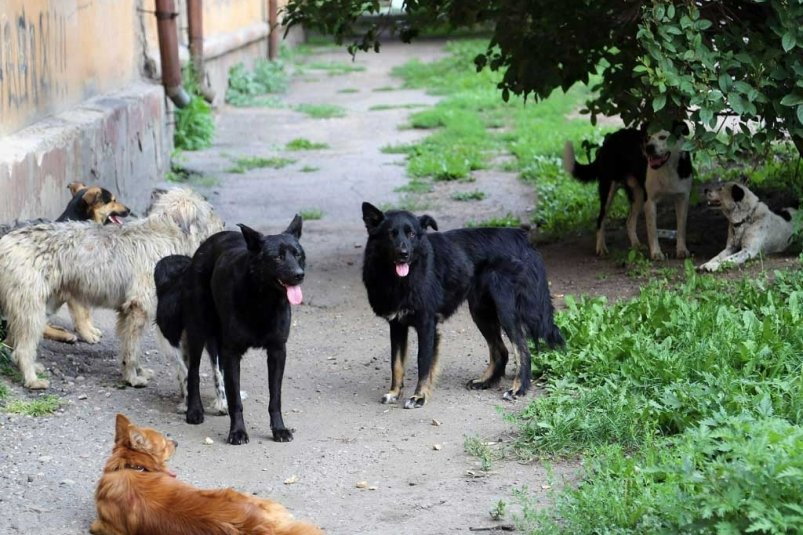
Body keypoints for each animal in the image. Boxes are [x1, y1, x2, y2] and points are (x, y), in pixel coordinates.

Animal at [0, 188, 223, 390]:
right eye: (212, 211)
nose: (224, 225)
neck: (165, 232)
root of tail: (6, 242)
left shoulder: (127, 313)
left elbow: (129, 348)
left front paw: (136, 372)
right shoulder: (138, 308)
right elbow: (132, 350)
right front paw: (133, 378)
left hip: (41, 306)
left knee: (12, 342)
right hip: (31, 308)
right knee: (22, 348)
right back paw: (32, 380)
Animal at [155, 216, 306, 446]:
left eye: (298, 254)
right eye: (277, 257)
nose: (299, 275)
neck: (263, 301)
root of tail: (203, 247)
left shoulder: (277, 351)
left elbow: (275, 397)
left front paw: (279, 429)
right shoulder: (232, 352)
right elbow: (235, 400)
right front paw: (237, 432)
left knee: (217, 374)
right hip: (198, 330)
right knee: (193, 372)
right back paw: (194, 411)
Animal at [362, 202, 564, 410]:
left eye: (411, 234)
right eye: (391, 234)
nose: (404, 254)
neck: (399, 279)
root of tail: (522, 238)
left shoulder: (426, 325)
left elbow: (423, 363)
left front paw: (419, 396)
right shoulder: (397, 325)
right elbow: (396, 364)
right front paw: (394, 393)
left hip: (505, 311)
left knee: (523, 349)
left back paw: (518, 388)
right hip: (481, 312)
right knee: (501, 350)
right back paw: (485, 381)